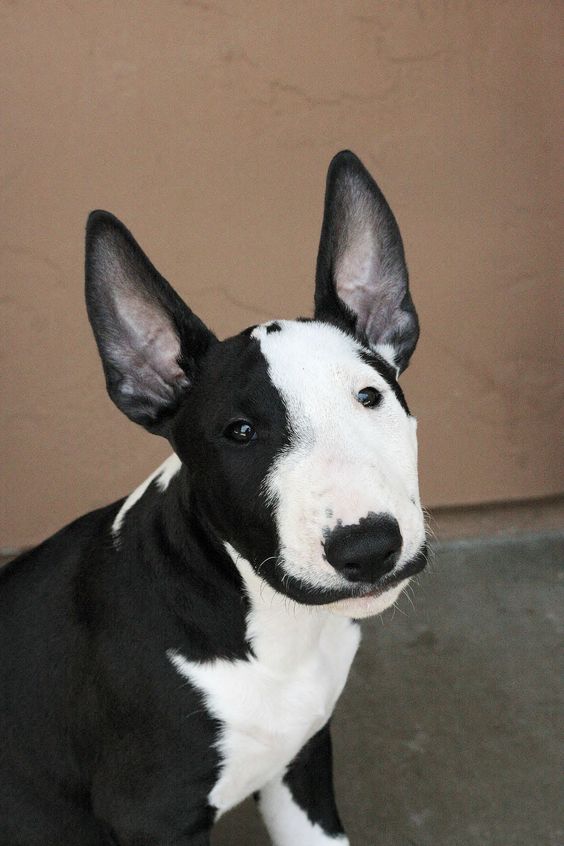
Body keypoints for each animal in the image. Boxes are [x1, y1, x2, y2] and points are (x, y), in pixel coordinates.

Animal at [0, 154, 426, 846]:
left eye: (370, 397)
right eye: (241, 432)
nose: (368, 547)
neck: (275, 630)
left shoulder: (302, 764)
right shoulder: (155, 815)